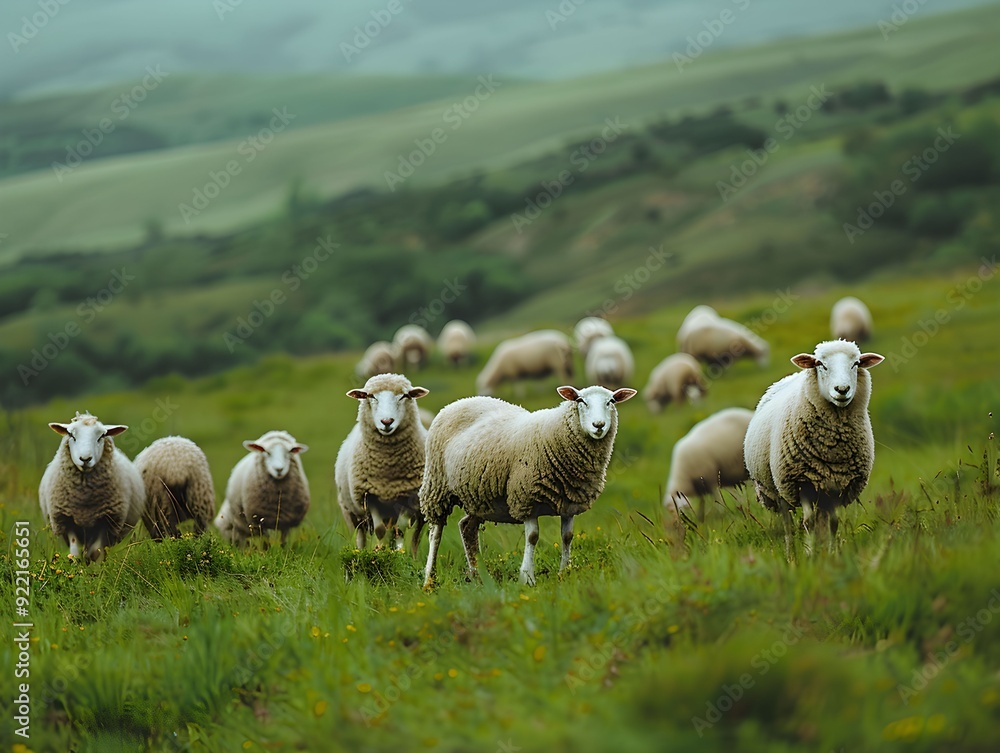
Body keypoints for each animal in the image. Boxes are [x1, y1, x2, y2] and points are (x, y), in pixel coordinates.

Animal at [38, 411, 146, 562]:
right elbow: (75, 553)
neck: (84, 500)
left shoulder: (106, 520)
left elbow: (96, 552)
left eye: (101, 436)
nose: (85, 459)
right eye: (71, 435)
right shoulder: (66, 519)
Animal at [335, 373, 430, 554]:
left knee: (415, 538)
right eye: (370, 396)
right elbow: (379, 530)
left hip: (420, 514)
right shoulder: (370, 496)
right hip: (352, 513)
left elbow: (400, 530)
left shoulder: (407, 497)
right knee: (361, 536)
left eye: (404, 396)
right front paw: (380, 550)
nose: (387, 421)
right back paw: (363, 551)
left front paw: (397, 553)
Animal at [420, 384, 637, 588]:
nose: (598, 425)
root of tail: (461, 401)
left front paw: (564, 572)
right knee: (435, 533)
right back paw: (429, 579)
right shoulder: (526, 497)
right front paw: (527, 577)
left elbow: (567, 537)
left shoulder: (569, 502)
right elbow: (532, 537)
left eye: (611, 401)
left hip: (479, 496)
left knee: (467, 527)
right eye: (580, 401)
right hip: (437, 485)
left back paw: (478, 576)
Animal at [743, 339, 884, 549]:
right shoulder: (802, 481)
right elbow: (808, 523)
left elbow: (833, 524)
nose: (842, 389)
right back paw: (791, 553)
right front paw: (810, 554)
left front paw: (831, 553)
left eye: (856, 364)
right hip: (777, 487)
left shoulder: (837, 484)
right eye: (821, 364)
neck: (832, 446)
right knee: (788, 524)